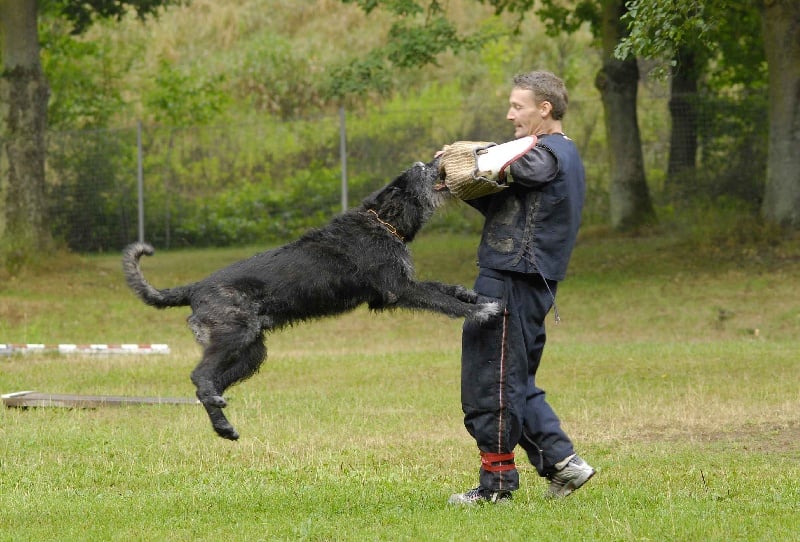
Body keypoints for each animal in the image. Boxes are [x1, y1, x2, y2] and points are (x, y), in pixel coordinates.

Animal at [123, 162, 500, 442]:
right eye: (421, 169)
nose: (439, 161)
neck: (381, 220)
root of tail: (194, 288)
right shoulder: (399, 290)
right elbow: (440, 300)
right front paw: (479, 310)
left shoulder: (400, 287)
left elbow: (442, 288)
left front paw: (468, 293)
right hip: (233, 336)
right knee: (199, 375)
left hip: (251, 353)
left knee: (208, 383)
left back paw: (224, 426)